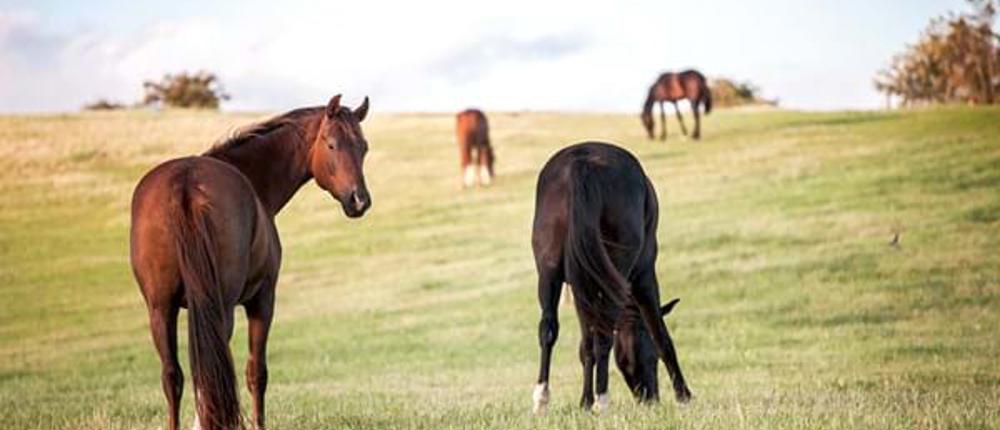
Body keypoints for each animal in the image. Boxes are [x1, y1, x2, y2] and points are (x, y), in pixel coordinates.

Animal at [130, 95, 371, 430]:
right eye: (332, 144)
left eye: (364, 147)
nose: (359, 200)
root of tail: (184, 184)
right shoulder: (262, 300)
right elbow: (256, 373)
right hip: (221, 306)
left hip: (160, 309)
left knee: (173, 376)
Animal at [530, 141, 692, 414]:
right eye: (651, 357)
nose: (650, 398)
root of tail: (581, 163)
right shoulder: (644, 276)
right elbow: (660, 334)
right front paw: (683, 395)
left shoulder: (579, 287)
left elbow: (585, 345)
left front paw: (584, 402)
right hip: (620, 270)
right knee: (604, 335)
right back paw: (602, 400)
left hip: (550, 272)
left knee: (549, 329)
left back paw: (543, 399)